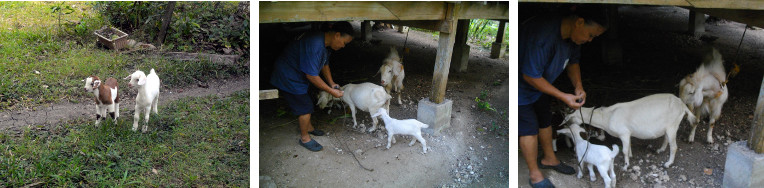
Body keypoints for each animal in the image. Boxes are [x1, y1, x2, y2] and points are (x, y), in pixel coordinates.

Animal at [560, 93, 700, 170]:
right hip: (669, 126)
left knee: (674, 147)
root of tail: (682, 105)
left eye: (569, 119)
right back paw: (660, 150)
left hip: (672, 124)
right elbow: (628, 147)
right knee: (666, 138)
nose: (564, 126)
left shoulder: (623, 133)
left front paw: (626, 165)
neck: (607, 116)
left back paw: (668, 163)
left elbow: (624, 150)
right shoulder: (627, 134)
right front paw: (631, 156)